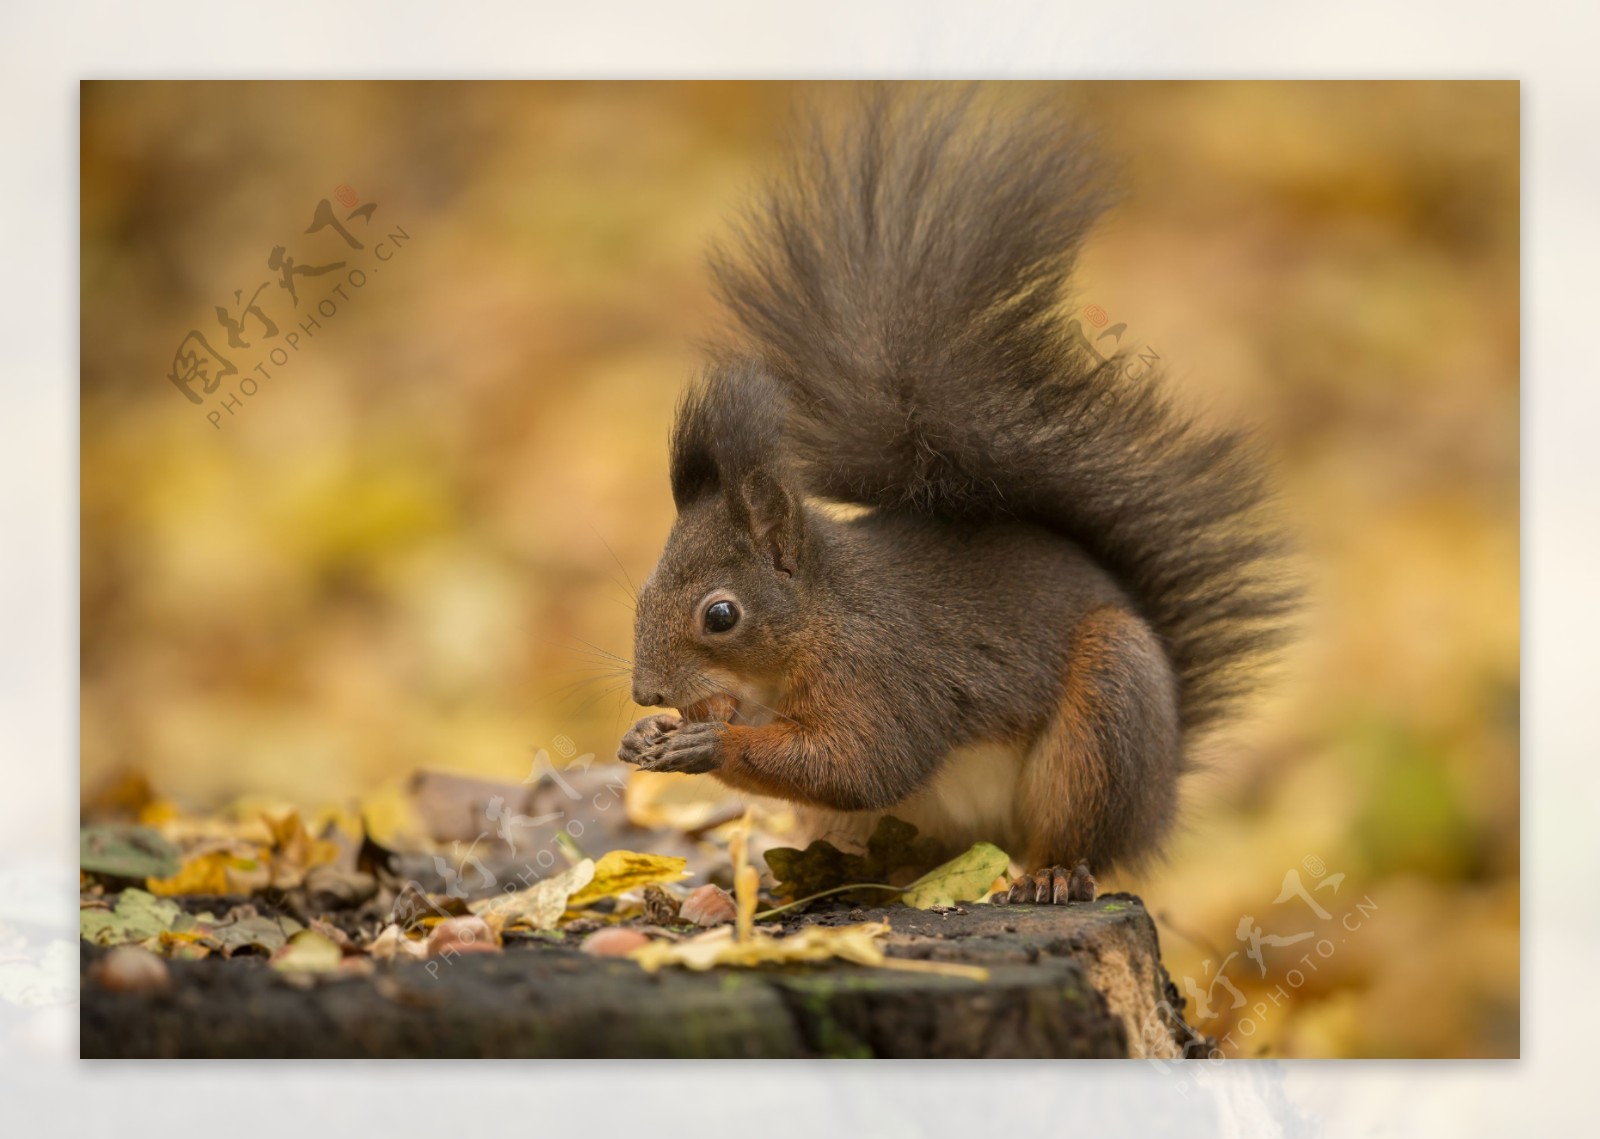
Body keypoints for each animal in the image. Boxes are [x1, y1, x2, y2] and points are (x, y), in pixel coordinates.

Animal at [614, 88, 1299, 902]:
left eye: (721, 615)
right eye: (642, 592)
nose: (646, 693)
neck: (815, 623)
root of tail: (1159, 798)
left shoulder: (882, 671)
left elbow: (862, 762)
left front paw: (708, 741)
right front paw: (650, 736)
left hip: (1104, 717)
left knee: (1076, 838)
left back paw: (1052, 874)